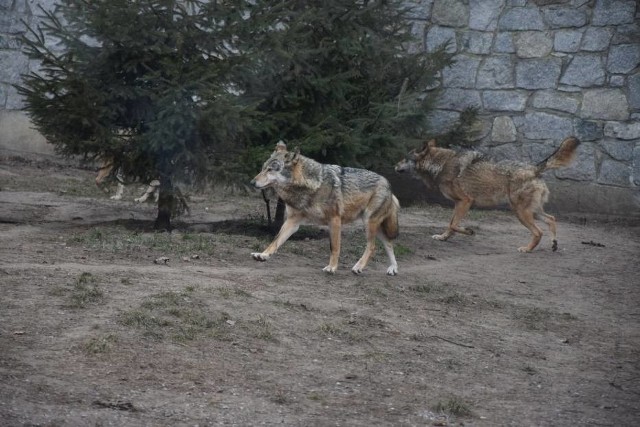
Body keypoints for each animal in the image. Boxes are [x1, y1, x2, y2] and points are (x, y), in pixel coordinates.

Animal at [251, 143, 398, 278]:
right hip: (376, 227)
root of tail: (388, 184)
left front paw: (332, 267)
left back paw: (358, 267)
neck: (311, 185)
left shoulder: (335, 220)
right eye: (263, 168)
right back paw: (393, 269)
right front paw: (262, 255)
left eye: (270, 170)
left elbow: (334, 247)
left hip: (369, 222)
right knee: (389, 243)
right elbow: (275, 240)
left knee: (372, 246)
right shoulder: (292, 222)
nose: (252, 182)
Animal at [396, 136, 580, 251]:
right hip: (531, 211)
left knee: (538, 232)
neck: (439, 164)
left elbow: (453, 224)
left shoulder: (465, 201)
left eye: (405, 158)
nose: (394, 165)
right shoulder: (458, 203)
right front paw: (443, 238)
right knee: (552, 219)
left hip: (521, 212)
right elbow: (450, 224)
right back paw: (554, 244)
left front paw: (469, 231)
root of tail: (534, 169)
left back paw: (526, 249)